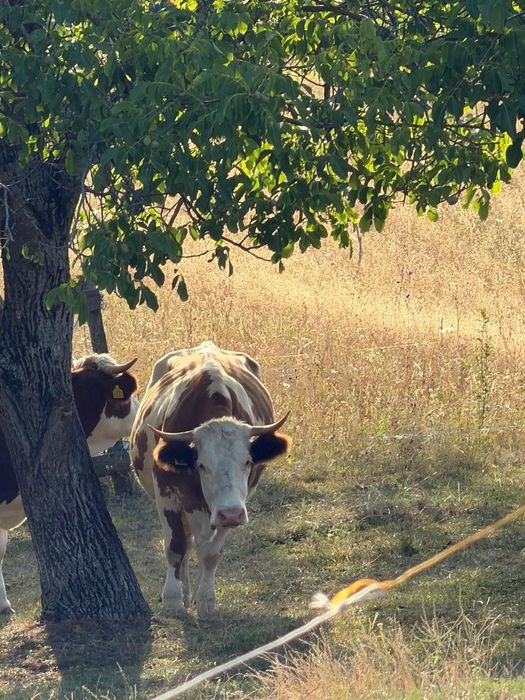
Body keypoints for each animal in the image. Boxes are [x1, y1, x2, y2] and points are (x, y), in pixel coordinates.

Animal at [130, 341, 291, 617]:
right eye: (202, 465)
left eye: (247, 462)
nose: (231, 514)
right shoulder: (166, 496)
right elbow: (175, 547)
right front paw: (173, 600)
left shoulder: (230, 505)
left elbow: (211, 554)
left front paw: (206, 600)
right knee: (184, 544)